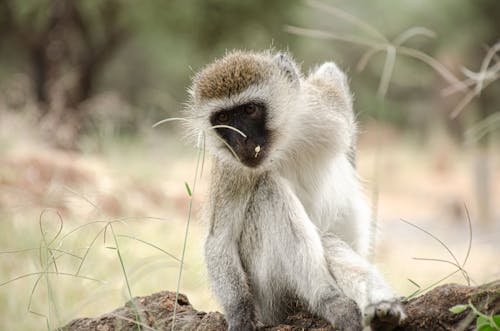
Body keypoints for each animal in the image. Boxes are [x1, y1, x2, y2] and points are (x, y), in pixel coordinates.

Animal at [186, 50, 404, 331]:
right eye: (223, 119)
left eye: (249, 109)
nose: (241, 141)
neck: (284, 142)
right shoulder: (232, 168)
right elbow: (219, 241)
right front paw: (240, 314)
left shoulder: (325, 106)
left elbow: (331, 75)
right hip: (272, 297)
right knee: (271, 192)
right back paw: (328, 300)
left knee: (330, 241)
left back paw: (380, 309)